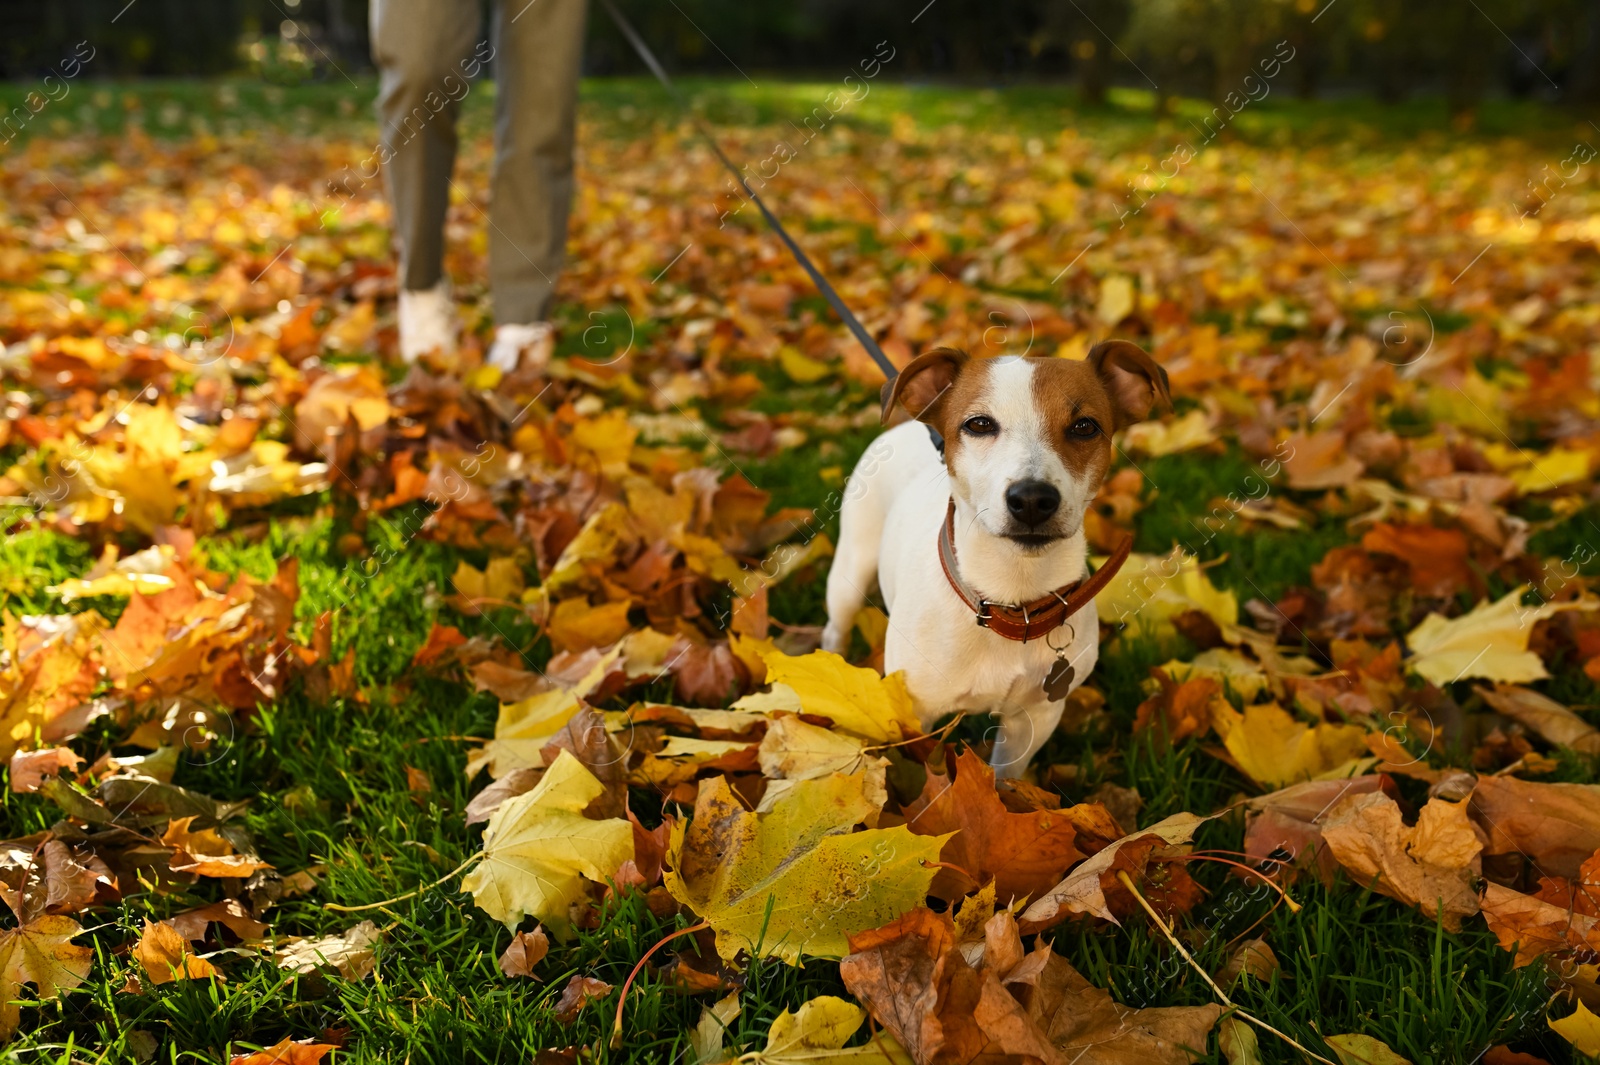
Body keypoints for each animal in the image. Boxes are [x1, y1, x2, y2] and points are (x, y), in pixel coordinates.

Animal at [825, 343, 1177, 777]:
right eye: (978, 424)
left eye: (1085, 427)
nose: (1032, 499)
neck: (1009, 600)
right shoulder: (914, 717)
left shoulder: (1034, 719)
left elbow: (1005, 778)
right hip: (850, 568)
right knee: (837, 624)